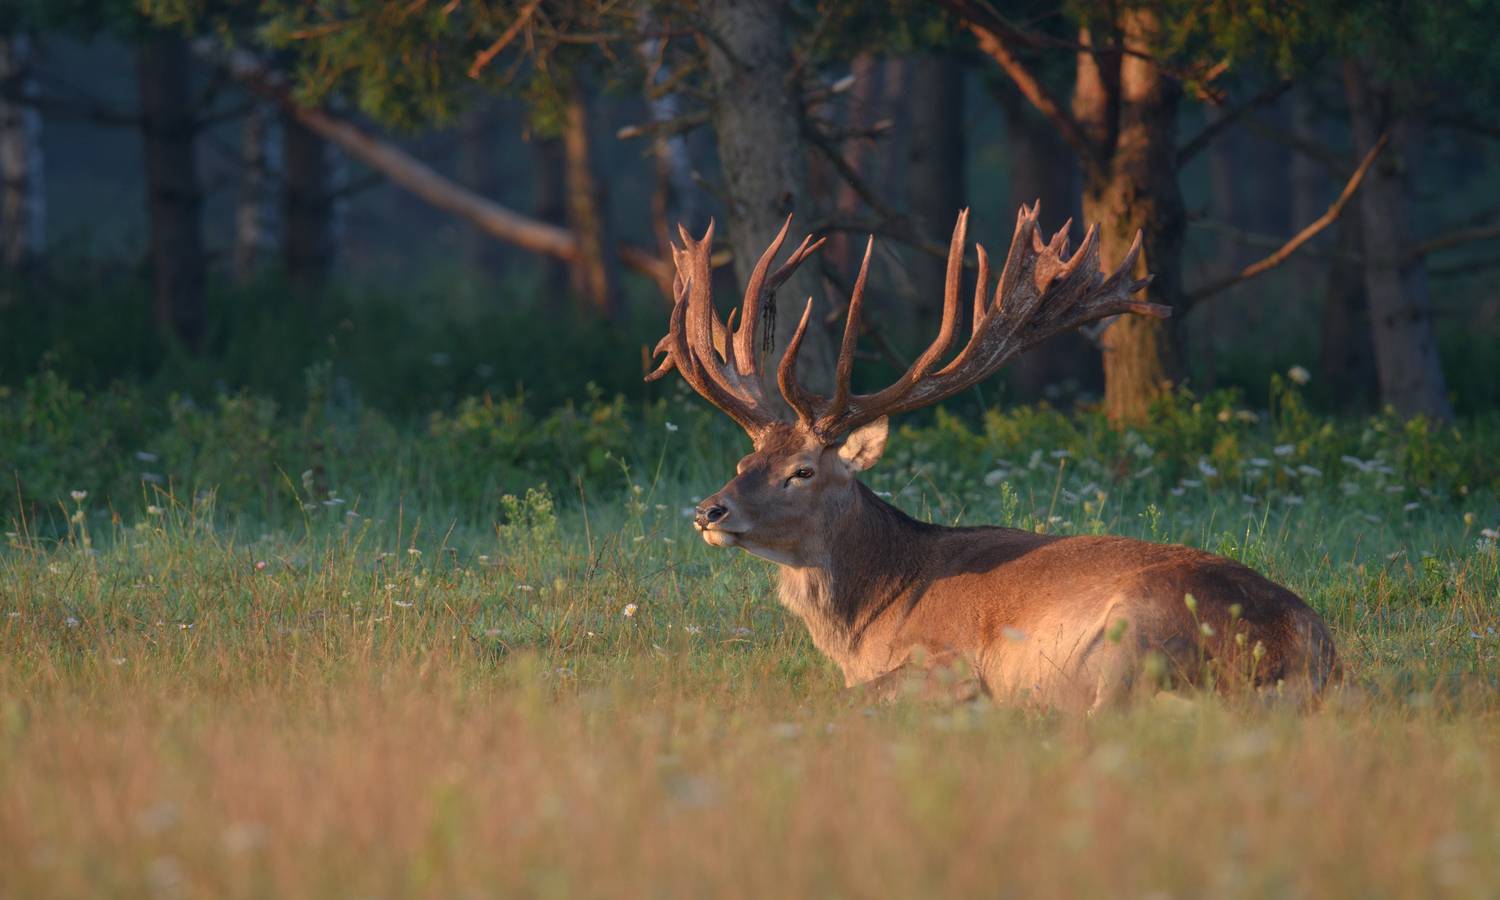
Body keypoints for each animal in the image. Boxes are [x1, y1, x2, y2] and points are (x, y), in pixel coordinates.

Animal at [647, 204, 1339, 712]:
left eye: (802, 471)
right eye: (745, 463)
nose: (709, 511)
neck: (872, 619)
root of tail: (1307, 657)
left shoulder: (948, 659)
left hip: (1135, 638)